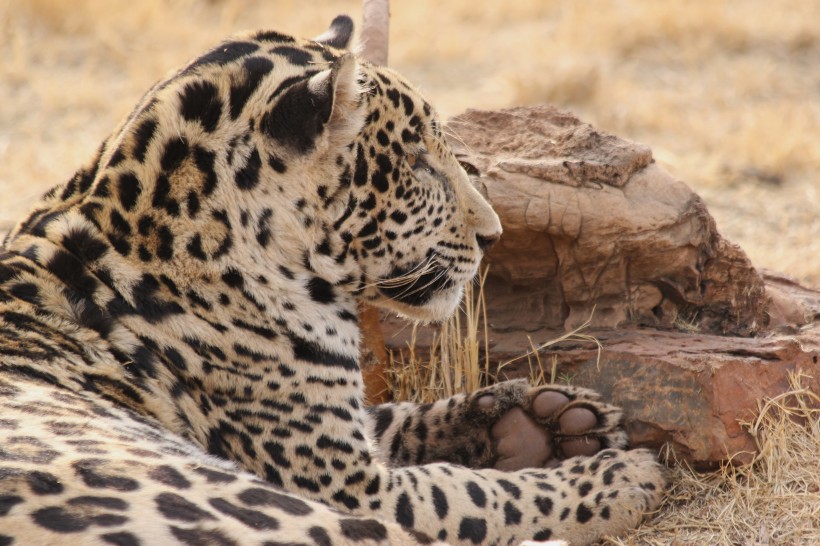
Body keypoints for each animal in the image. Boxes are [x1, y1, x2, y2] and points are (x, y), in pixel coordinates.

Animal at [0, 14, 664, 540]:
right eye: (418, 162)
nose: (493, 235)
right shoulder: (355, 486)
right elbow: (471, 491)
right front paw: (613, 476)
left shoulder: (343, 431)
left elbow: (395, 414)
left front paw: (546, 419)